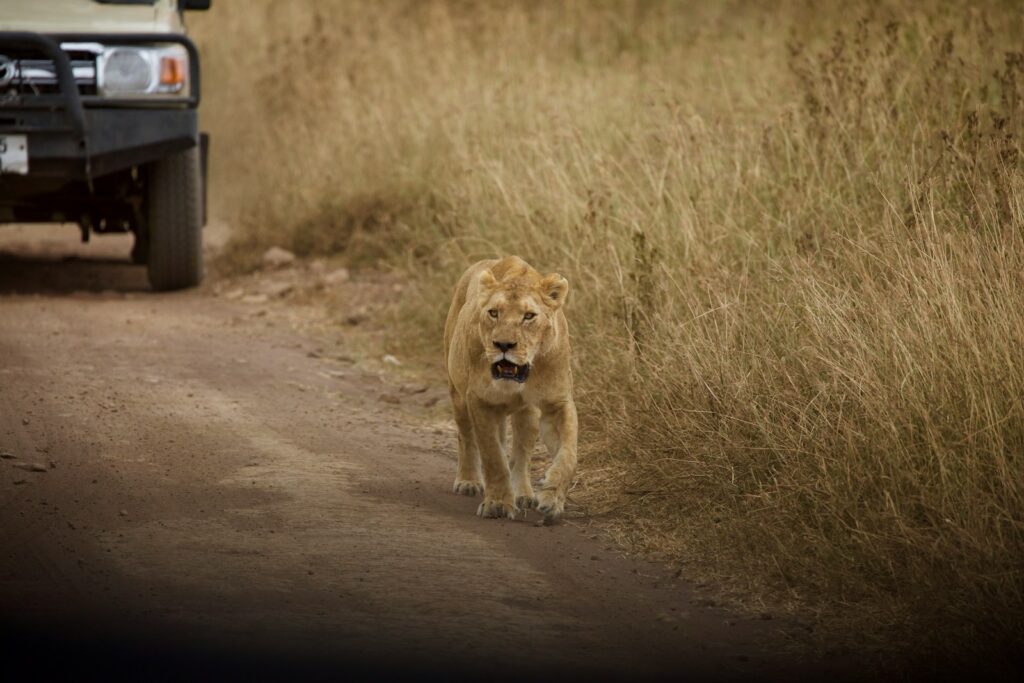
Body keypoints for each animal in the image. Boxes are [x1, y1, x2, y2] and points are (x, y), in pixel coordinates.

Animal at [443, 255, 578, 521]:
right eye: (493, 313)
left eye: (529, 316)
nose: (504, 344)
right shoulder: (480, 400)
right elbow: (493, 456)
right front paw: (497, 503)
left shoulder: (557, 403)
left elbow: (569, 454)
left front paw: (552, 498)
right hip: (459, 395)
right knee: (466, 437)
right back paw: (468, 481)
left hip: (528, 413)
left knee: (521, 454)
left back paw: (523, 493)